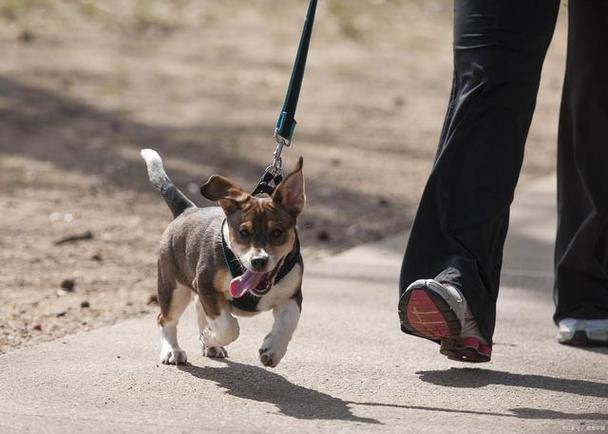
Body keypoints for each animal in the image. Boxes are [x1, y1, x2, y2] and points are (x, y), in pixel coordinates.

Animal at [141, 148, 304, 366]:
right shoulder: (206, 285)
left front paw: (272, 350)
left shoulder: (292, 296)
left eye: (277, 233)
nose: (258, 261)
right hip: (173, 288)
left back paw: (211, 347)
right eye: (243, 232)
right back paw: (172, 350)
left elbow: (288, 323)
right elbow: (229, 327)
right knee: (164, 318)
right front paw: (209, 337)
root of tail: (187, 210)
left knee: (197, 307)